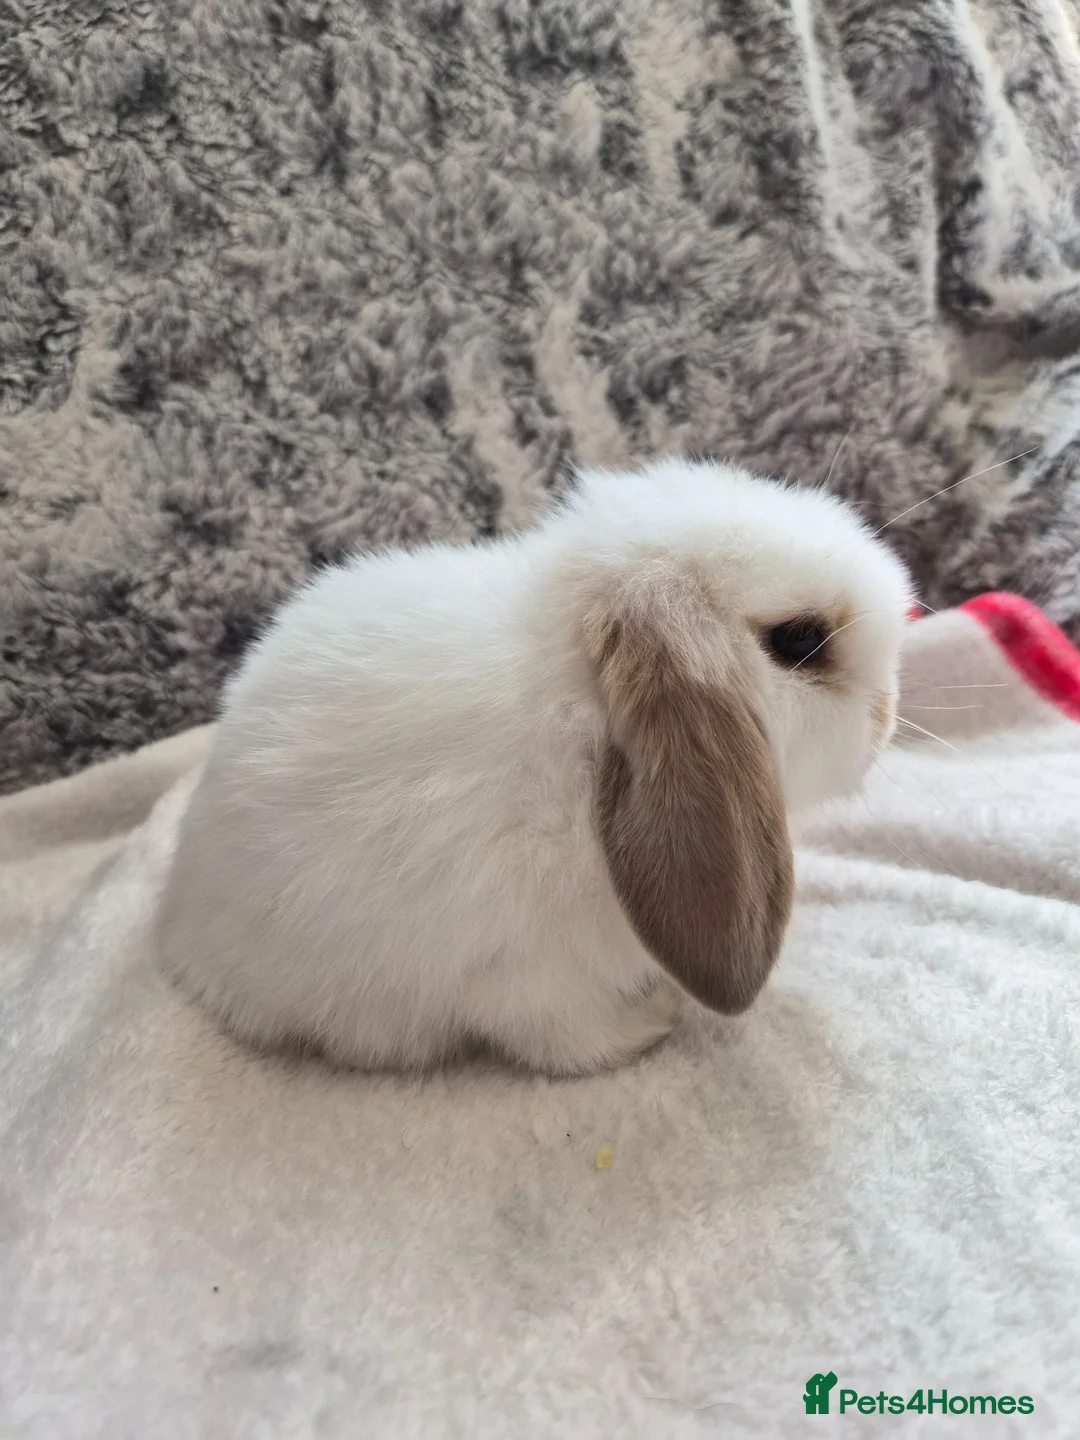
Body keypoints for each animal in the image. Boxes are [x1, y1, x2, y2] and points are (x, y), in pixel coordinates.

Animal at [154, 458, 912, 1076]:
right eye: (801, 640)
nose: (887, 713)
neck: (579, 736)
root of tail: (181, 922)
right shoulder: (527, 981)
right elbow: (569, 1044)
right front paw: (656, 1020)